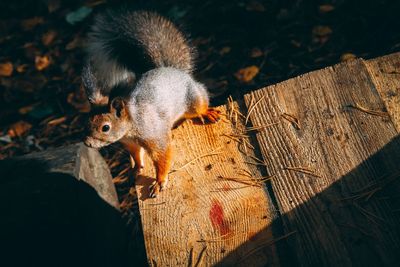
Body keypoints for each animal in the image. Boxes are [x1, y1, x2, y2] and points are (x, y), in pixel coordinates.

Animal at [81, 9, 219, 198]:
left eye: (106, 127)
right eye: (86, 121)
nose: (87, 143)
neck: (131, 125)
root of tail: (171, 69)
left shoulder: (155, 136)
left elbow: (163, 157)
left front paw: (159, 182)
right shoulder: (130, 143)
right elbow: (136, 155)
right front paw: (136, 169)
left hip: (192, 98)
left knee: (200, 104)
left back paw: (207, 112)